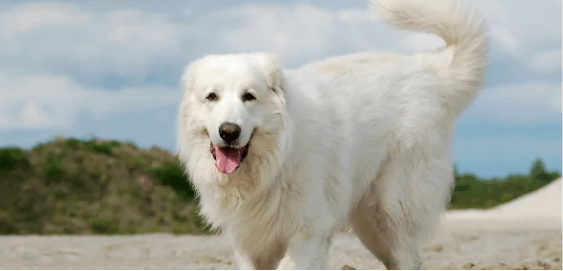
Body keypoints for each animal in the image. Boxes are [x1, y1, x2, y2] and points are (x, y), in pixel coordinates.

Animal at [177, 0, 490, 270]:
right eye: (212, 97)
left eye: (249, 96)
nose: (229, 131)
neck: (274, 164)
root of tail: (429, 69)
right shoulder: (248, 241)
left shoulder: (308, 231)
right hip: (371, 223)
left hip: (394, 206)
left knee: (408, 258)